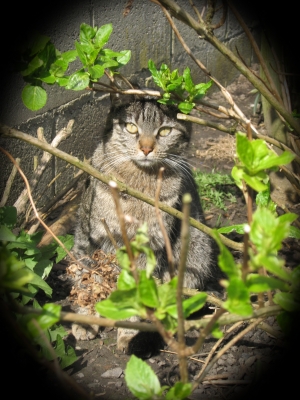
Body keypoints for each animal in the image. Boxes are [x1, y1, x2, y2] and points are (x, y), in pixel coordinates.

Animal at [71, 90, 224, 354]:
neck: (137, 185)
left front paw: (129, 333)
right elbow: (91, 282)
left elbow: (136, 293)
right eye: (132, 128)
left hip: (196, 250)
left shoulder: (149, 247)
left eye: (164, 131)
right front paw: (87, 320)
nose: (145, 148)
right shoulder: (93, 240)